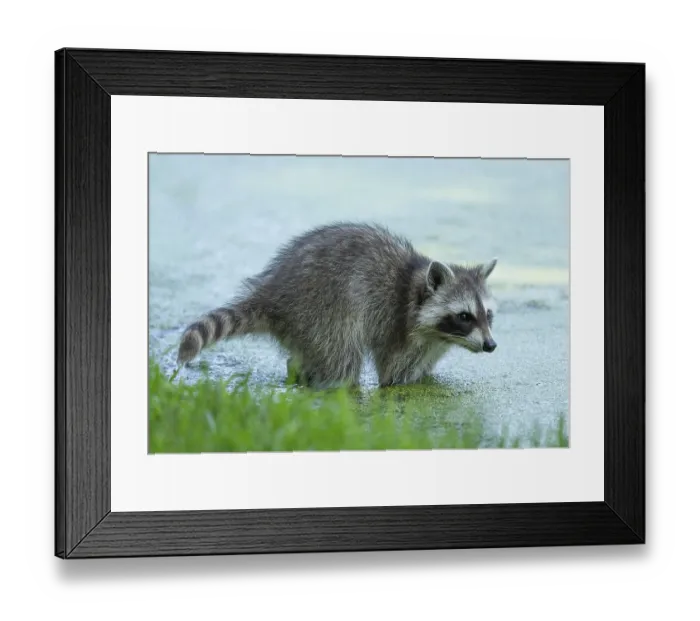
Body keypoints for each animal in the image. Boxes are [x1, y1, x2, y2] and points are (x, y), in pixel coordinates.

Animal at [177, 222, 498, 388]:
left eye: (488, 314)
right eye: (465, 316)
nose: (491, 345)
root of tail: (273, 292)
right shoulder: (396, 325)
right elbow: (393, 376)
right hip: (325, 311)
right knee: (343, 360)